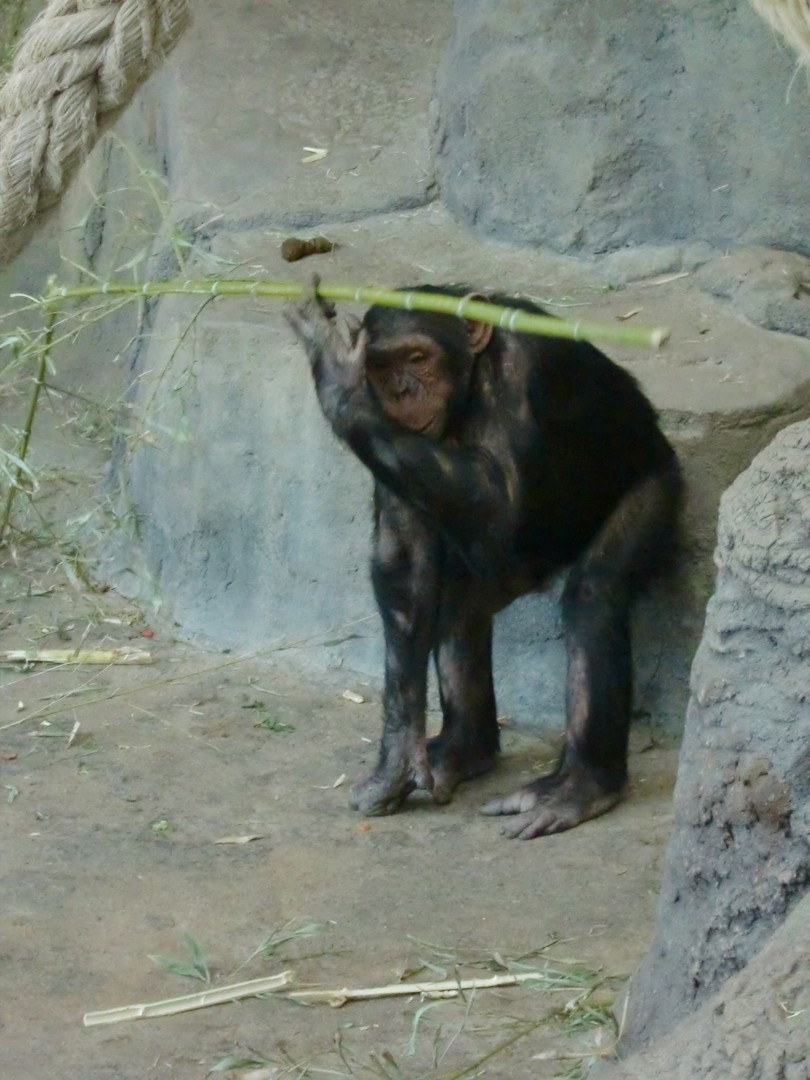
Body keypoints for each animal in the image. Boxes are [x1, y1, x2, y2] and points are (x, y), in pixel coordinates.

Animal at [282, 278, 682, 833]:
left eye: (417, 357)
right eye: (382, 366)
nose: (402, 391)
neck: (468, 387)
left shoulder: (525, 371)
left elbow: (501, 511)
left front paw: (337, 377)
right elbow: (405, 559)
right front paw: (397, 758)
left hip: (654, 485)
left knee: (593, 594)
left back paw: (579, 788)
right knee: (459, 609)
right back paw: (465, 749)